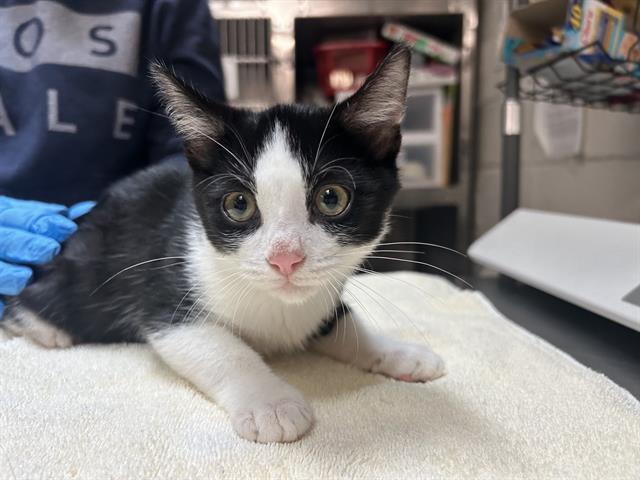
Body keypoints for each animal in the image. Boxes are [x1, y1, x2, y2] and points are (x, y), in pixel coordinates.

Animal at [3, 47, 444, 444]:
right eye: (238, 204)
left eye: (332, 198)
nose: (285, 259)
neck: (277, 306)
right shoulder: (165, 294)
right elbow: (222, 348)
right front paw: (271, 404)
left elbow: (340, 321)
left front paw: (398, 352)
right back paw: (45, 328)